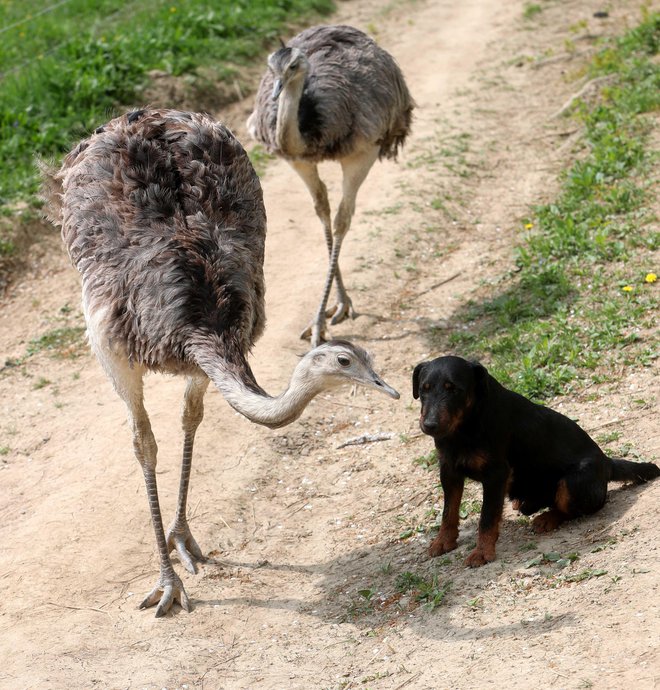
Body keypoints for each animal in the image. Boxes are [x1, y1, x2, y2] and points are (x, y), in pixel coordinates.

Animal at [410, 354, 656, 564]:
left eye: (454, 390)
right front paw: (443, 541)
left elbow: (487, 518)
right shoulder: (448, 471)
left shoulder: (496, 474)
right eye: (424, 389)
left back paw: (547, 518)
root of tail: (607, 463)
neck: (463, 428)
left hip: (573, 482)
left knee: (575, 508)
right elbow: (448, 512)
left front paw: (482, 553)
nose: (430, 425)